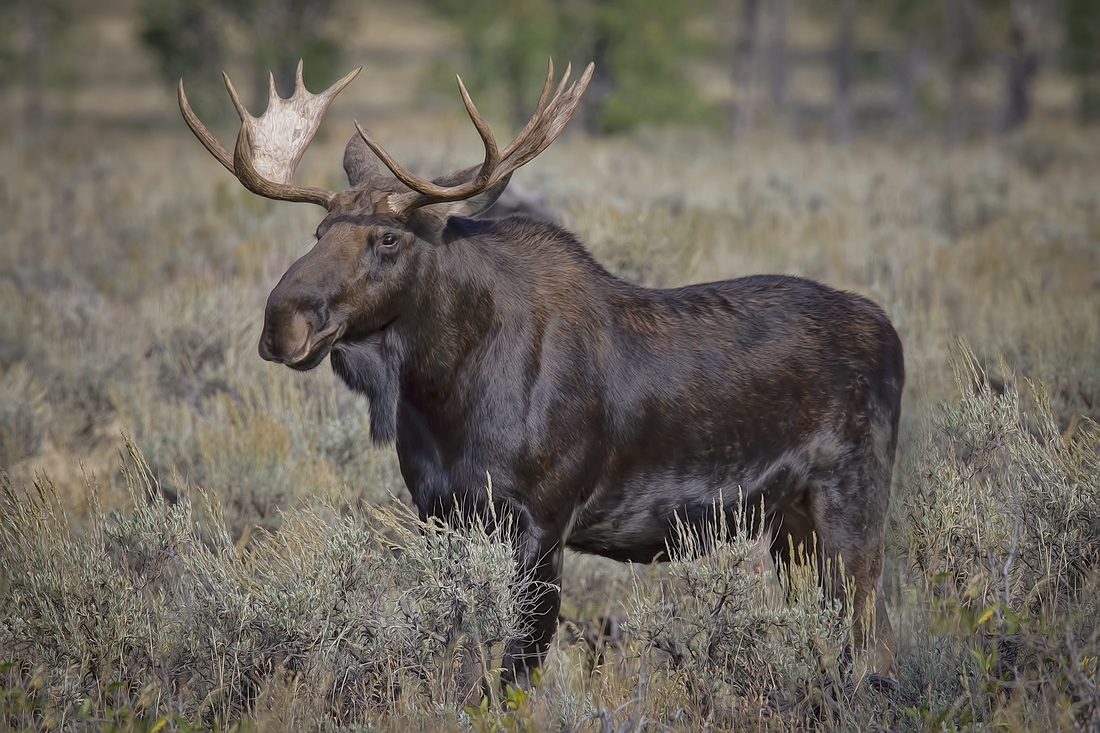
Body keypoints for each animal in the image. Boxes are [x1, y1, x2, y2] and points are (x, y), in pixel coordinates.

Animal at [178, 58, 902, 686]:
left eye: (387, 238)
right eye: (318, 232)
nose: (282, 322)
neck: (444, 393)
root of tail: (893, 337)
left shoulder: (544, 520)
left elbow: (515, 671)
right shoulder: (442, 513)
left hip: (850, 503)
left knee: (871, 638)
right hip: (789, 524)